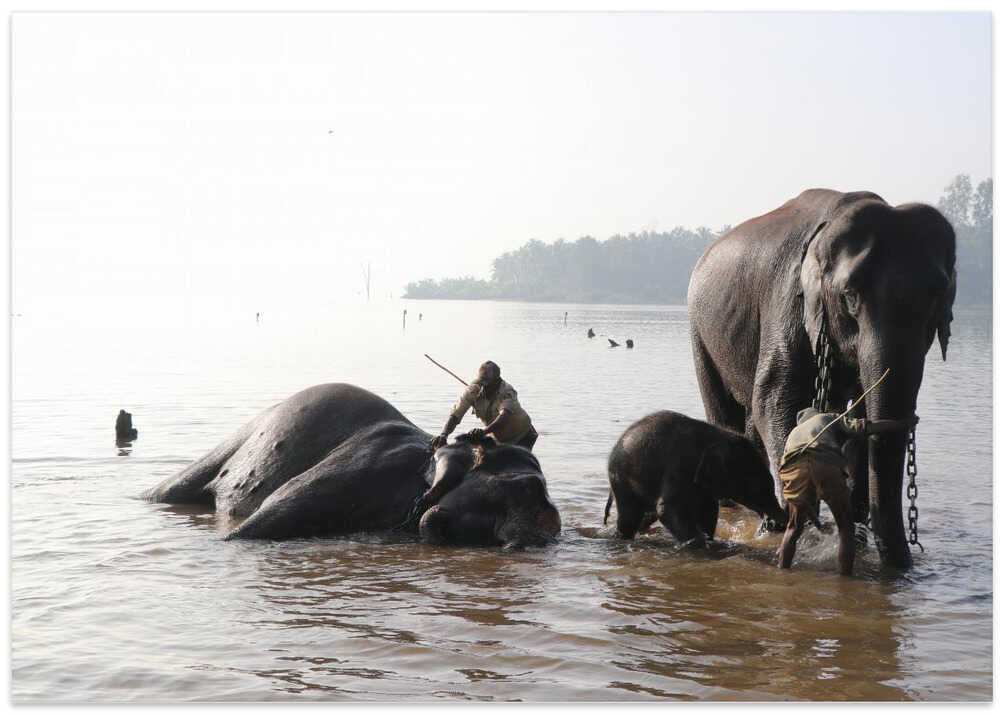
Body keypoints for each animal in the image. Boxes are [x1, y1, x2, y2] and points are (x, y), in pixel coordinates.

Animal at [606, 410, 786, 547]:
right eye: (756, 488)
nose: (779, 523)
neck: (718, 437)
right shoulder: (679, 466)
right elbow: (667, 509)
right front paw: (700, 545)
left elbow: (709, 510)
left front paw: (710, 541)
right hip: (621, 479)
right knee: (629, 515)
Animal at [687, 189, 956, 570]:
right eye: (850, 296)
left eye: (937, 297)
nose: (905, 562)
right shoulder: (788, 302)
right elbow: (773, 401)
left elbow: (860, 415)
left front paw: (854, 532)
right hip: (700, 330)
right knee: (725, 409)